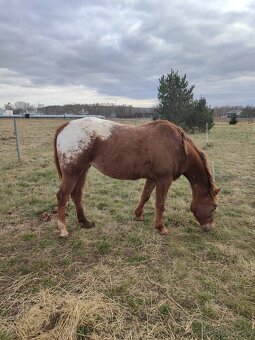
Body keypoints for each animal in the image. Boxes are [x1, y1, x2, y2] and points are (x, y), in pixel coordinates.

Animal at [53, 118, 219, 238]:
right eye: (214, 206)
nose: (209, 227)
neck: (178, 147)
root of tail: (66, 125)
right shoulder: (164, 180)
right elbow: (160, 204)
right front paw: (161, 228)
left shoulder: (153, 179)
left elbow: (145, 196)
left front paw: (138, 215)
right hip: (72, 172)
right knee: (62, 196)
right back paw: (63, 229)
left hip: (82, 171)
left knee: (76, 195)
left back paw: (85, 222)